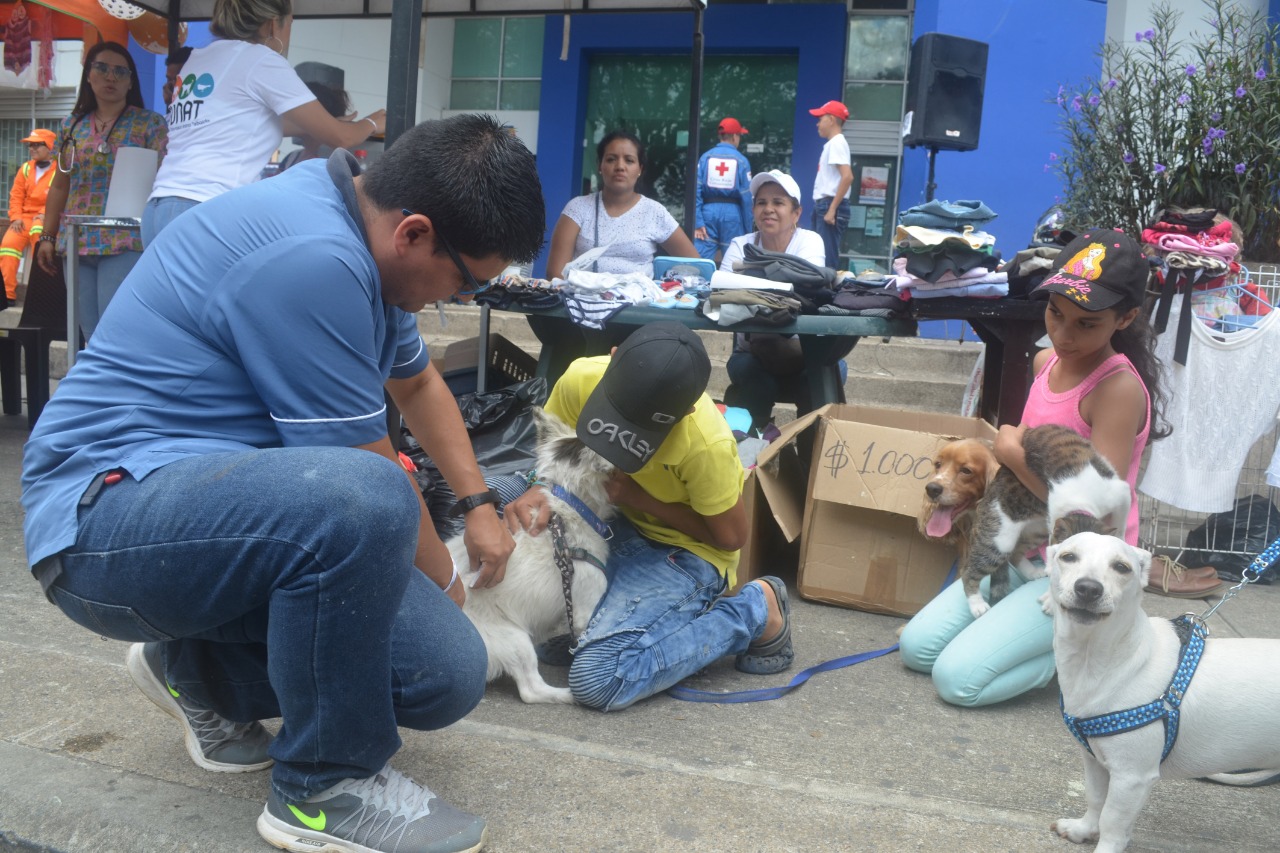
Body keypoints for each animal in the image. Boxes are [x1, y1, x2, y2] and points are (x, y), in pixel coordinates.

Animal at [1044, 527, 1280, 845]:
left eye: (1122, 567)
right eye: (1068, 557)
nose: (1089, 588)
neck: (1098, 660)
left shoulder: (1132, 777)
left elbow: (1112, 823)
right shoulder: (1095, 760)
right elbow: (1095, 798)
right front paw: (1083, 829)